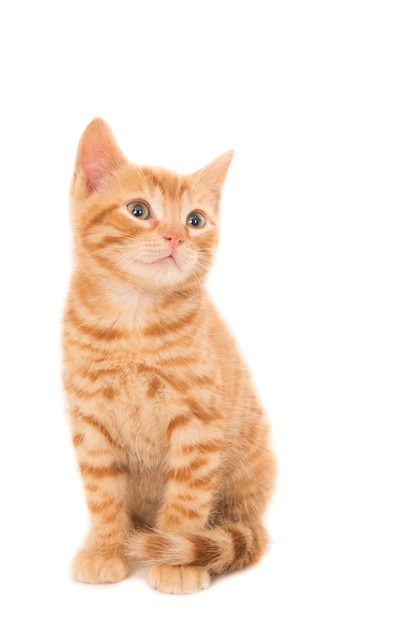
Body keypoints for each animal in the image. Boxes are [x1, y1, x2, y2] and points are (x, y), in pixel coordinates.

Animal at [63, 119, 276, 592]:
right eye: (138, 210)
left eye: (196, 220)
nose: (176, 236)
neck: (134, 320)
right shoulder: (90, 421)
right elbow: (102, 493)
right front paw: (106, 548)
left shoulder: (198, 420)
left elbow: (187, 496)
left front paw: (175, 558)